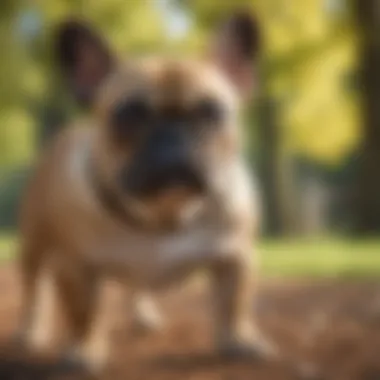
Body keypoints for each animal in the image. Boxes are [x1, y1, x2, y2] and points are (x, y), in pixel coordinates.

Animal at [14, 8, 270, 374]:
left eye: (212, 111)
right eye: (129, 114)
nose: (172, 138)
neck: (161, 215)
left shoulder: (236, 258)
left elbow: (234, 304)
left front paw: (239, 340)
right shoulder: (76, 267)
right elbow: (83, 315)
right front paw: (83, 351)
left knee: (138, 287)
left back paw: (144, 316)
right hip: (34, 243)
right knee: (34, 288)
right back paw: (30, 330)